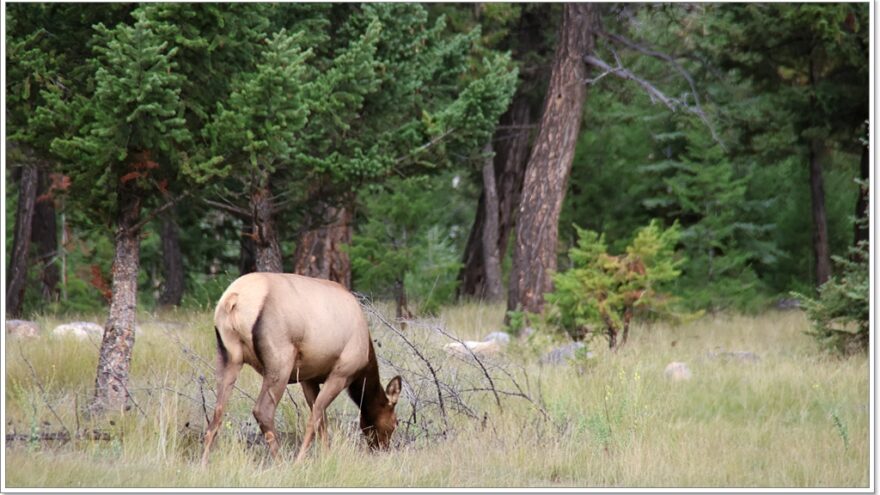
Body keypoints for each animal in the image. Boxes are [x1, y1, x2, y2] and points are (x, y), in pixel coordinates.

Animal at [200, 274, 402, 466]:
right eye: (394, 423)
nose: (382, 449)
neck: (364, 365)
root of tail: (233, 300)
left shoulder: (308, 378)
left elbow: (322, 420)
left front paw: (326, 456)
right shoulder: (341, 373)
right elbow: (315, 417)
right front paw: (300, 460)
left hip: (228, 357)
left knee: (217, 413)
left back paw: (203, 464)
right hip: (280, 361)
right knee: (262, 411)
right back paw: (282, 463)